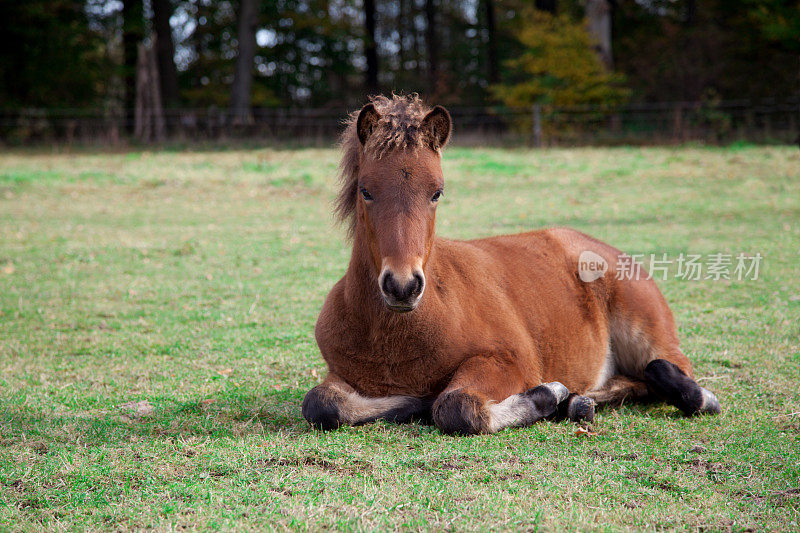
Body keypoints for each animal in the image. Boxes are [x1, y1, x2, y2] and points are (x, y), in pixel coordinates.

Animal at [304, 95, 720, 434]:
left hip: (648, 335)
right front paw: (411, 404)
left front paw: (546, 394)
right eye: (366, 191)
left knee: (667, 370)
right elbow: (321, 404)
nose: (402, 286)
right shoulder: (340, 373)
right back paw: (578, 403)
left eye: (436, 193)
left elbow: (456, 406)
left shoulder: (511, 361)